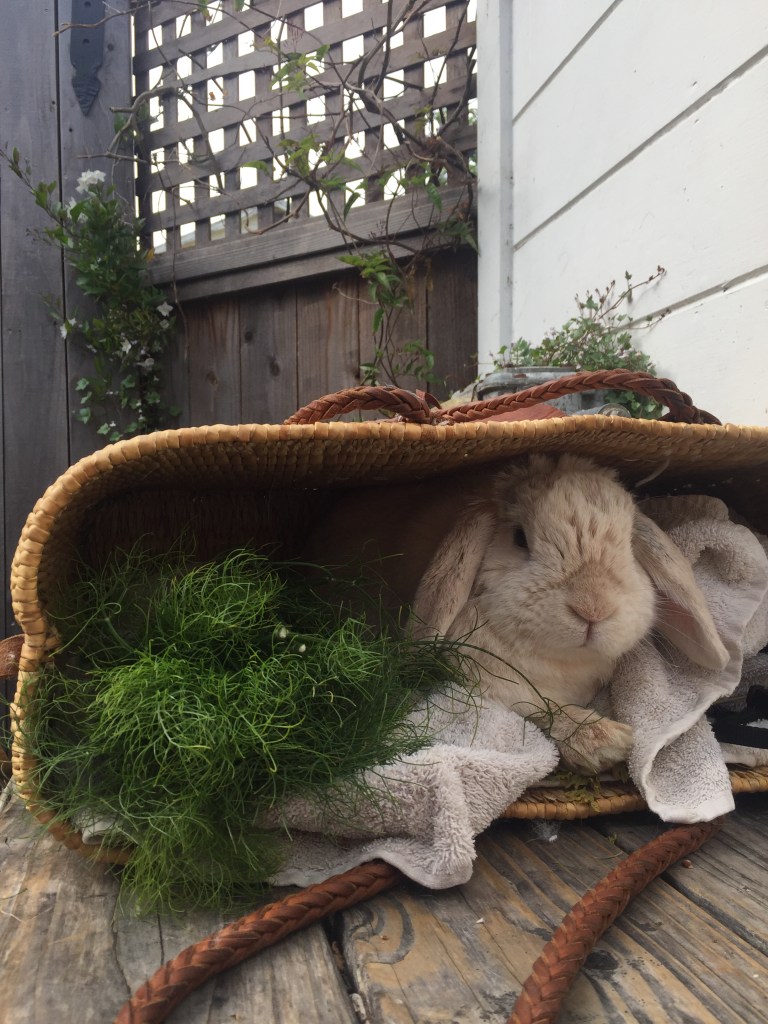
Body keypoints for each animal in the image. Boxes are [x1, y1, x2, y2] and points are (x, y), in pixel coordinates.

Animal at [305, 454, 729, 773]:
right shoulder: (489, 684)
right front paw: (604, 742)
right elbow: (536, 707)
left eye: (627, 544)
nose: (593, 608)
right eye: (519, 538)